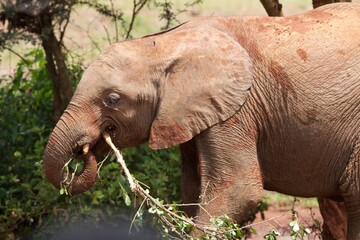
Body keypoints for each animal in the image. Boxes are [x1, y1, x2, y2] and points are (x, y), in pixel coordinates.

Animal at [43, 2, 358, 239]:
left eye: (112, 99)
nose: (83, 153)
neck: (163, 44)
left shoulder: (236, 108)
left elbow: (237, 190)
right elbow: (191, 189)